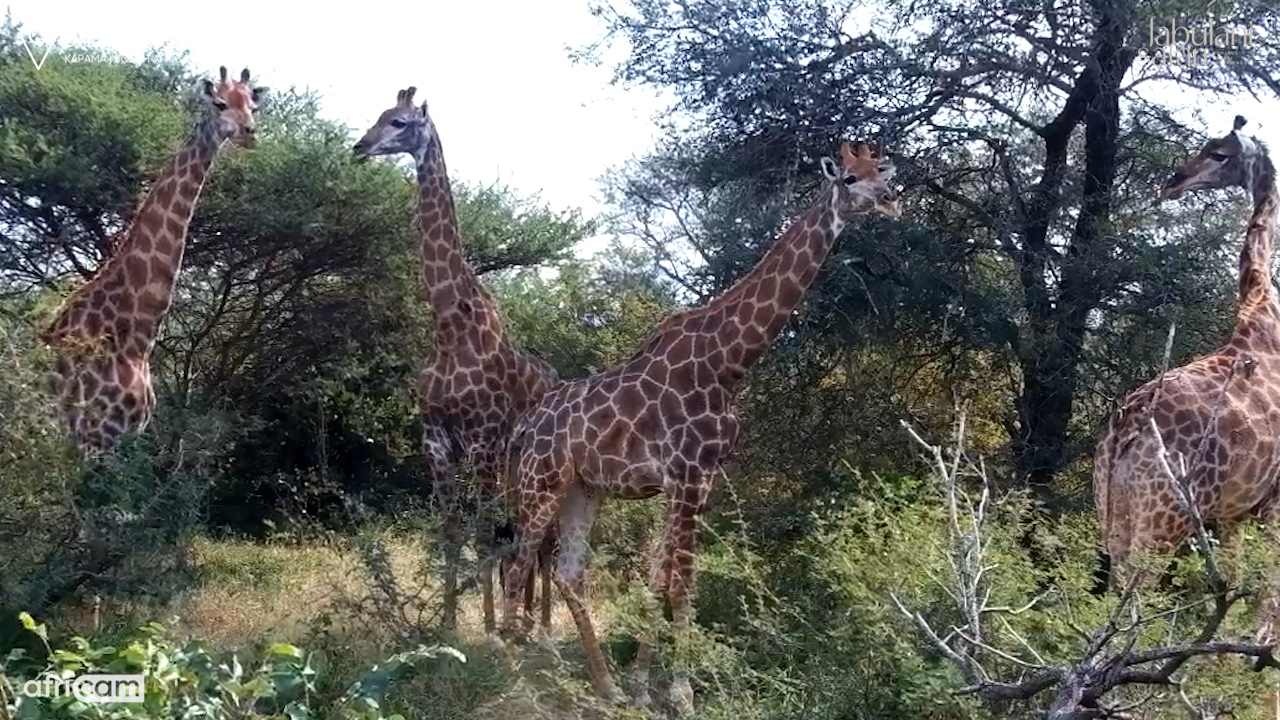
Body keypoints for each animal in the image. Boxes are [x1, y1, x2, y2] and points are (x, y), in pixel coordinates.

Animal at [39, 67, 263, 456]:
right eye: (220, 103)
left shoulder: (126, 435)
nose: (248, 133)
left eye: (253, 105)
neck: (137, 335)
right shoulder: (94, 440)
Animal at [352, 87, 560, 633]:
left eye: (400, 122)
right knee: (525, 535)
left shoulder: (483, 440)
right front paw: (448, 624)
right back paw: (523, 619)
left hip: (534, 464)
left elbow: (484, 534)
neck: (449, 326)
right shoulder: (437, 439)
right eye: (379, 115)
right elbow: (452, 531)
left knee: (543, 538)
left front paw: (487, 629)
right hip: (515, 469)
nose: (360, 146)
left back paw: (538, 625)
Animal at [499, 141, 901, 712]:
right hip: (542, 483)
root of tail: (525, 426)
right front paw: (682, 695)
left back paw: (604, 685)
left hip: (583, 489)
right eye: (849, 177)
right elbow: (682, 583)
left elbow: (659, 576)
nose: (891, 201)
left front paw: (643, 690)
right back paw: (518, 668)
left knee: (567, 570)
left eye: (882, 172)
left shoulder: (697, 477)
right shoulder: (687, 473)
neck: (728, 361)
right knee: (519, 562)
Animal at [1094, 115, 1280, 633]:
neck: (1264, 303)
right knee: (1133, 606)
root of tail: (1124, 431)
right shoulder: (1273, 503)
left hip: (1112, 513)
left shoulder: (1237, 513)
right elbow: (1266, 603)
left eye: (1218, 153)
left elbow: (1237, 590)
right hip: (1165, 520)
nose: (1174, 181)